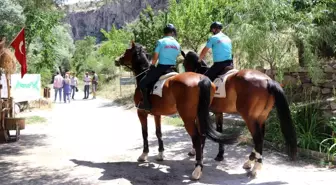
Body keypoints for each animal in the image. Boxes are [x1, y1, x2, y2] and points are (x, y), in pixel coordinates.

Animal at [115, 41, 239, 179]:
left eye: (127, 51)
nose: (117, 60)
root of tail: (201, 79)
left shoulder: (141, 113)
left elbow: (145, 133)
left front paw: (144, 154)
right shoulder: (157, 114)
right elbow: (158, 133)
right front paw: (160, 154)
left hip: (188, 118)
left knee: (197, 137)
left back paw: (197, 168)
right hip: (199, 115)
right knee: (202, 135)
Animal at [181, 49, 296, 177]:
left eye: (185, 63)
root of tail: (268, 80)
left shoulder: (201, 114)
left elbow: (202, 134)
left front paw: (196, 152)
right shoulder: (218, 112)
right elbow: (219, 131)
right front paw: (220, 155)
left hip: (250, 118)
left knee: (258, 138)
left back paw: (256, 167)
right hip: (261, 117)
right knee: (260, 136)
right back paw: (250, 161)